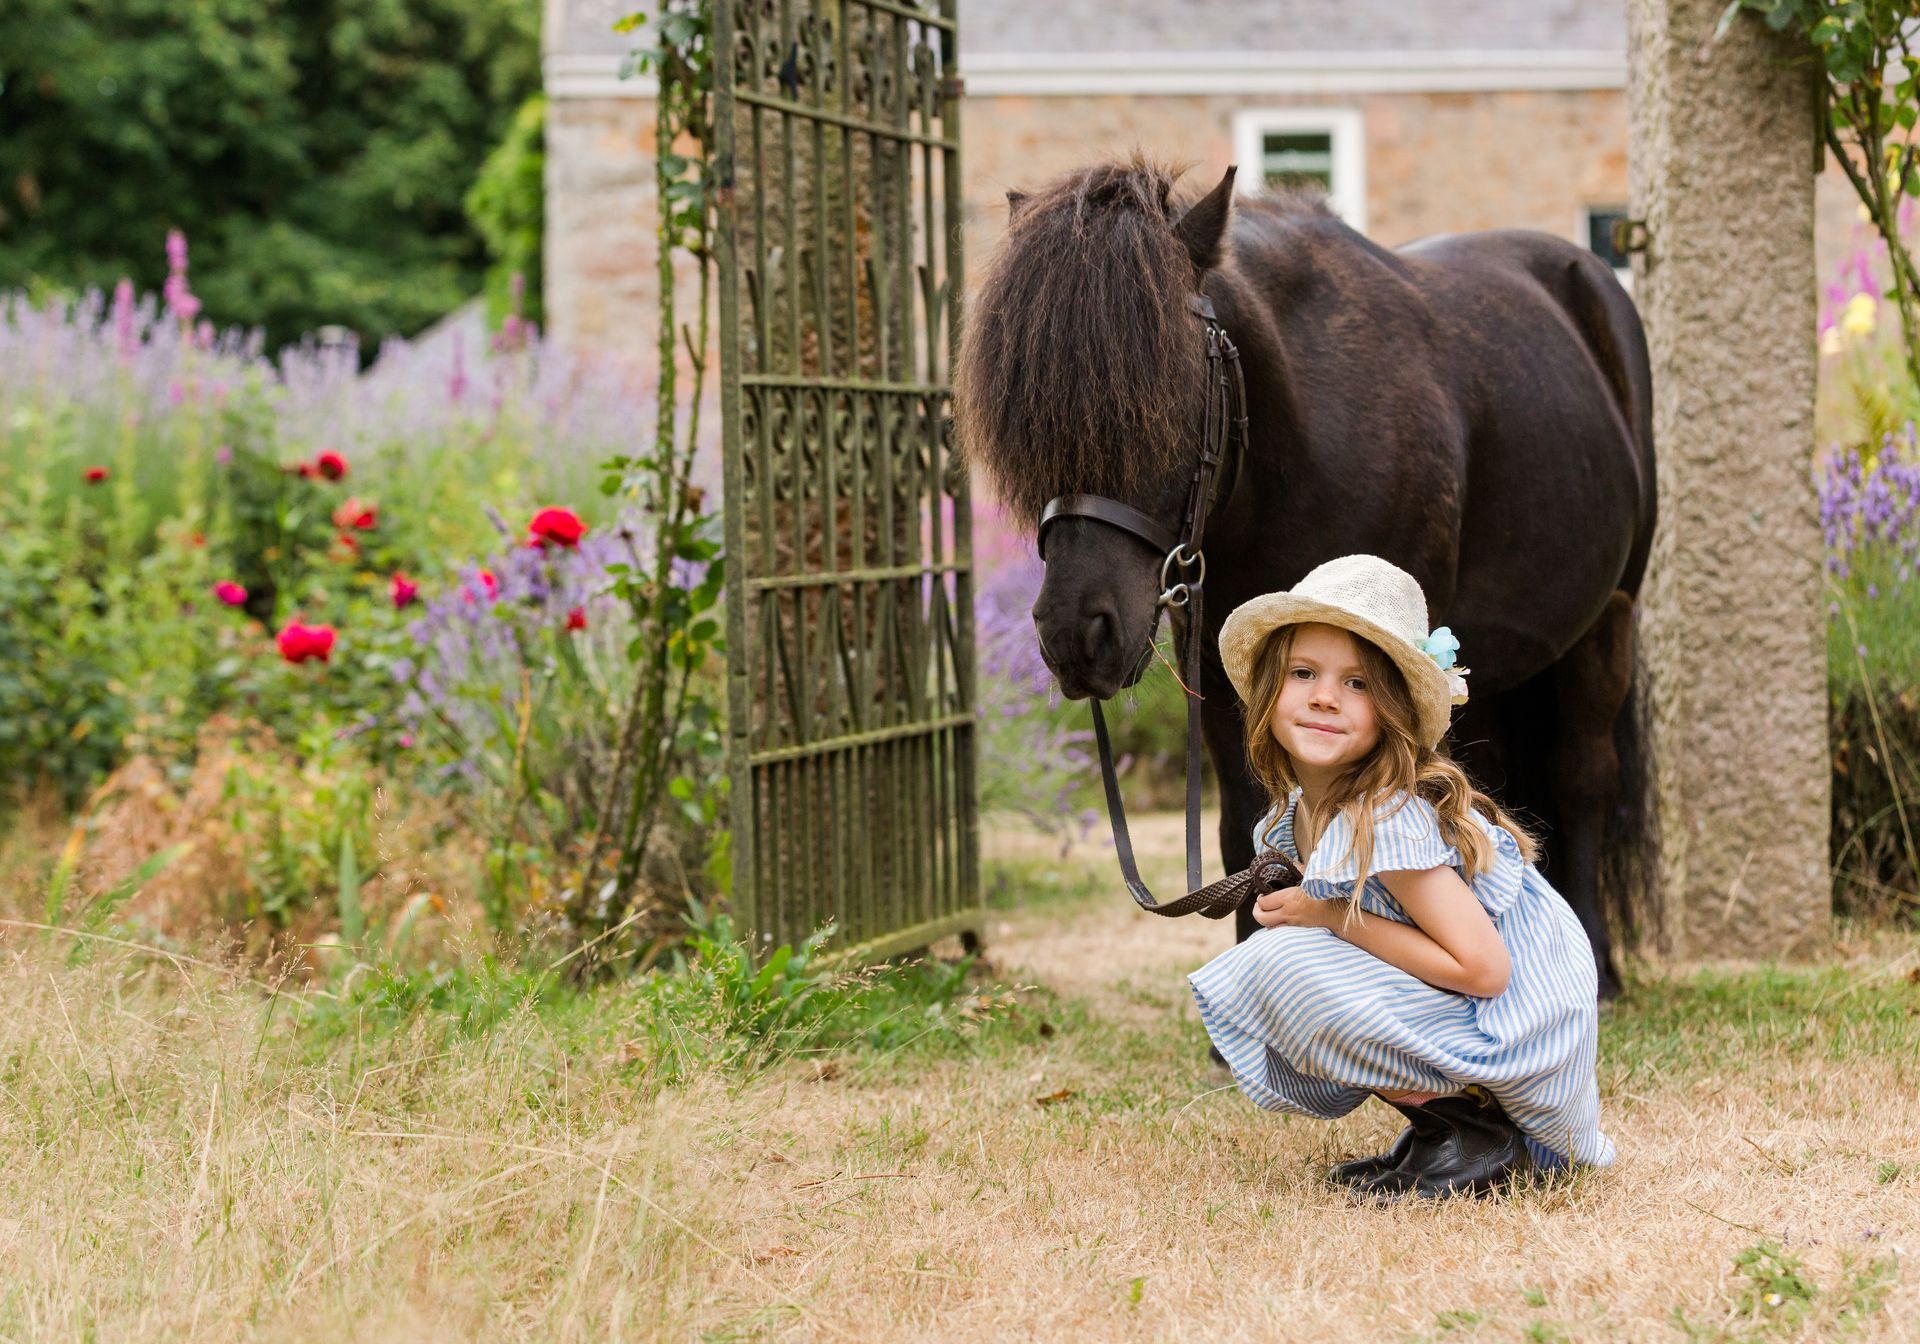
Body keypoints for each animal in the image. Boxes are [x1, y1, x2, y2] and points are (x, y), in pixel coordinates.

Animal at [951, 158, 1655, 998]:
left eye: (1166, 395)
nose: (1075, 635)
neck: (1298, 445)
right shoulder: (1232, 676)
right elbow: (1248, 835)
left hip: (1606, 623)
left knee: (1584, 777)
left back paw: (1600, 969)